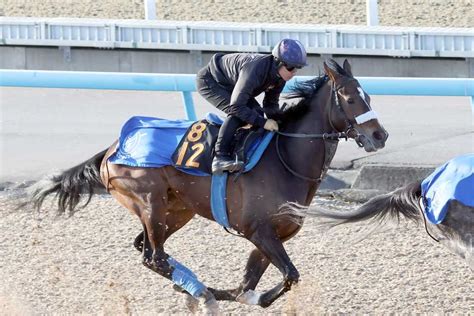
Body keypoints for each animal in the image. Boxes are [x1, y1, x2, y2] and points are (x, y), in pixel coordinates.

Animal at [24, 59, 388, 314]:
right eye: (350, 98)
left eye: (368, 95)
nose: (380, 135)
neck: (285, 158)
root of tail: (114, 146)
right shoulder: (258, 230)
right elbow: (289, 276)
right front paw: (220, 296)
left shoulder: (272, 236)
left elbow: (248, 286)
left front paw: (232, 295)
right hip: (150, 203)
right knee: (154, 257)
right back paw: (197, 290)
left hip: (177, 211)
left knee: (147, 249)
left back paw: (195, 290)